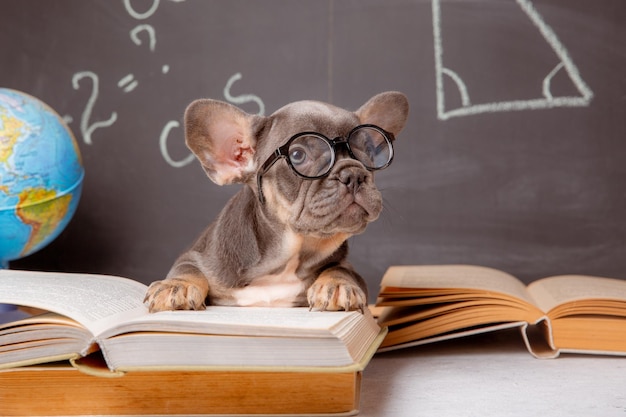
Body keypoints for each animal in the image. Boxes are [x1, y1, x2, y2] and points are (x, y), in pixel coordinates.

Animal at [146, 91, 410, 312]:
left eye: (369, 154)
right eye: (298, 155)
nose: (354, 174)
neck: (284, 260)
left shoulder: (349, 268)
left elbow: (342, 269)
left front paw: (336, 285)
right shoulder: (196, 256)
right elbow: (187, 268)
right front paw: (176, 285)